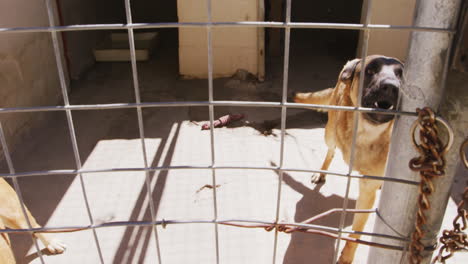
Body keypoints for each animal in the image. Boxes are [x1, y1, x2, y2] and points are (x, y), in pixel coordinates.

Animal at [296, 54, 402, 262]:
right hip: (329, 133)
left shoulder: (368, 189)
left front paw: (346, 256)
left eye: (400, 74)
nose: (392, 86)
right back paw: (321, 173)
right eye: (370, 70)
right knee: (330, 151)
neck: (366, 134)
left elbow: (356, 232)